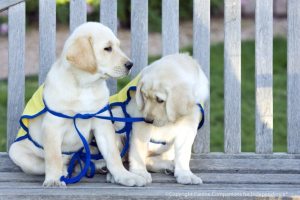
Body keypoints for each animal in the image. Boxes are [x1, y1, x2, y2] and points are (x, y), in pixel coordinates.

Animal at [10, 22, 148, 188]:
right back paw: (64, 171)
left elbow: (113, 154)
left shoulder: (102, 123)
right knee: (51, 162)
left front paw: (124, 176)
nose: (130, 64)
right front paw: (53, 179)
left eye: (119, 46)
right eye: (107, 48)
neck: (85, 86)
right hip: (17, 152)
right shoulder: (53, 126)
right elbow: (53, 157)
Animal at [110, 53, 209, 184]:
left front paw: (185, 173)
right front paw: (139, 172)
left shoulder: (189, 124)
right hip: (116, 120)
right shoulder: (140, 121)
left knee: (149, 160)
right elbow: (138, 150)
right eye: (144, 96)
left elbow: (183, 153)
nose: (148, 120)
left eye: (160, 100)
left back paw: (169, 165)